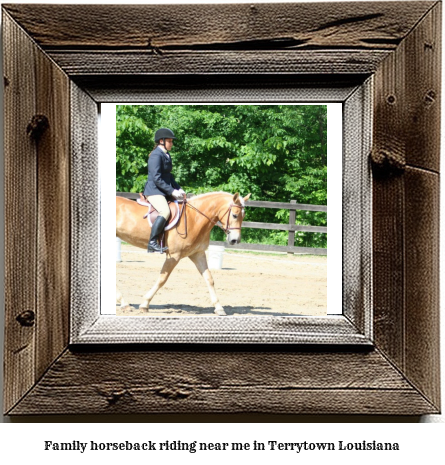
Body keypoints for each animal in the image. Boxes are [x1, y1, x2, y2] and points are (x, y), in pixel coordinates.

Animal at [115, 189, 250, 316]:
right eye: (235, 215)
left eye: (243, 216)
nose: (235, 240)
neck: (195, 218)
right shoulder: (174, 255)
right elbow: (162, 279)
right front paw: (145, 304)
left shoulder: (198, 253)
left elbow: (209, 279)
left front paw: (219, 308)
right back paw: (124, 303)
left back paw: (123, 303)